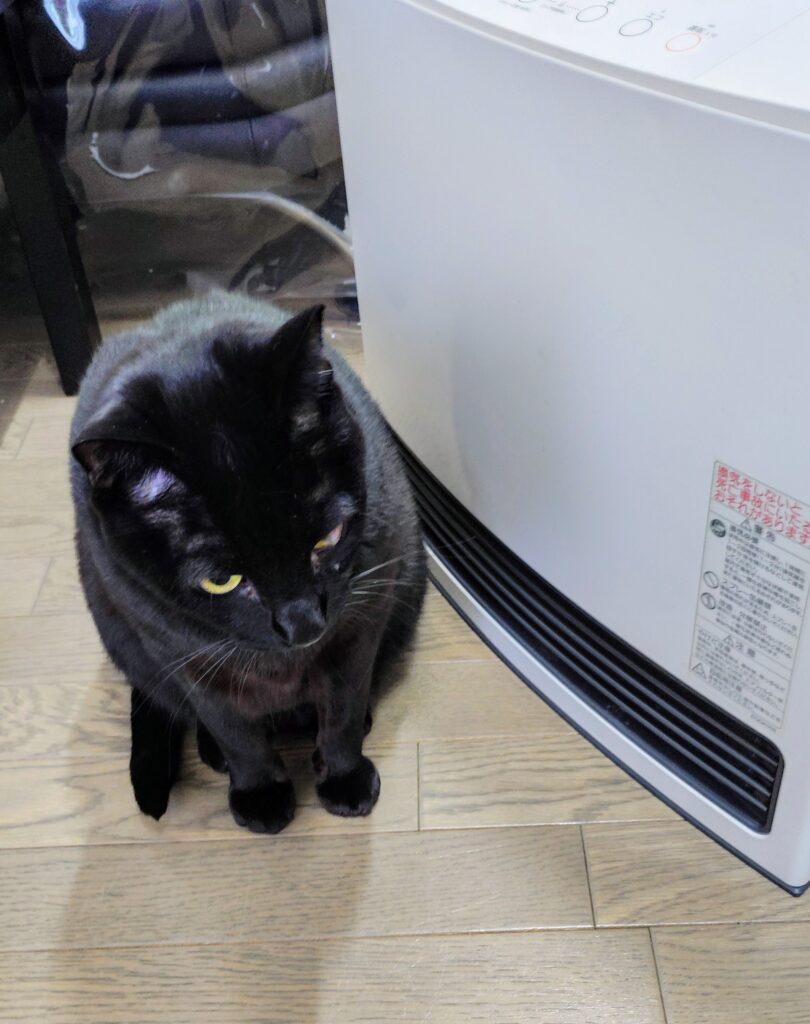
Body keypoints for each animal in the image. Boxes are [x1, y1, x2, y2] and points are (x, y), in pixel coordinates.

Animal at [70, 292, 426, 833]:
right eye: (222, 581)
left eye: (328, 539)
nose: (305, 625)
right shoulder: (189, 657)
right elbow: (235, 730)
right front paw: (260, 794)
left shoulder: (358, 627)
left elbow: (342, 711)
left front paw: (345, 778)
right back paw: (215, 754)